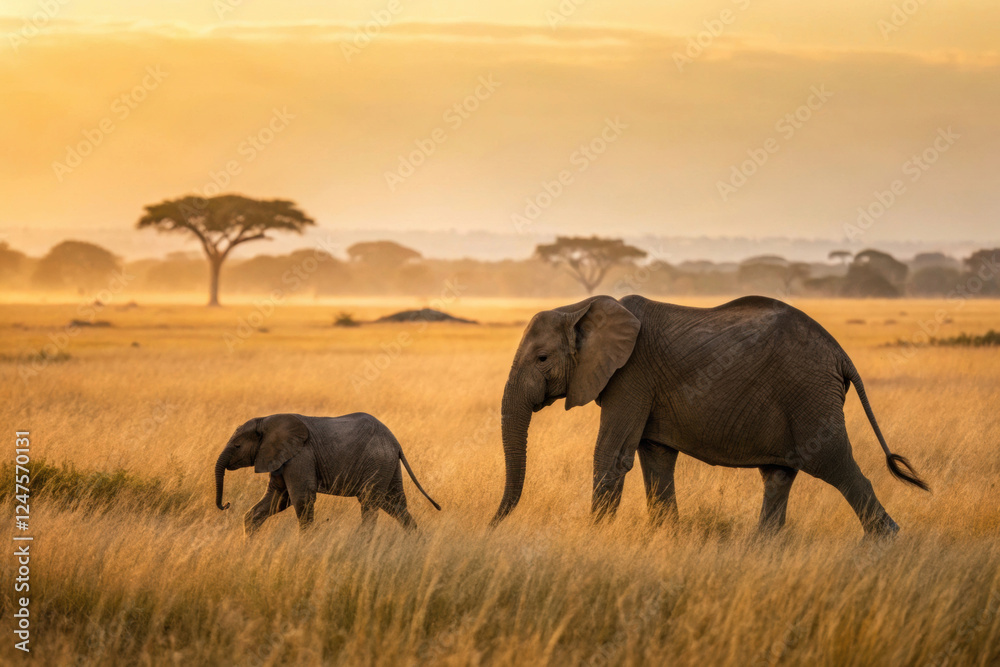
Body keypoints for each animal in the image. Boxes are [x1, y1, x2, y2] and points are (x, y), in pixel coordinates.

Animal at [214, 412, 440, 535]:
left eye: (237, 446)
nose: (226, 504)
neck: (266, 421)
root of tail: (396, 443)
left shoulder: (301, 455)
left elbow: (301, 498)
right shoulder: (281, 458)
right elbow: (277, 499)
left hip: (377, 461)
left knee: (370, 502)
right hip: (388, 464)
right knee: (394, 504)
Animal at [491, 295, 929, 537]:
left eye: (542, 358)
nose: (491, 526)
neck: (579, 308)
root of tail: (840, 353)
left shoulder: (631, 375)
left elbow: (612, 456)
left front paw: (593, 538)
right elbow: (656, 459)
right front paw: (666, 537)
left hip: (810, 394)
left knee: (834, 463)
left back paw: (885, 542)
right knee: (778, 475)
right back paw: (762, 549)